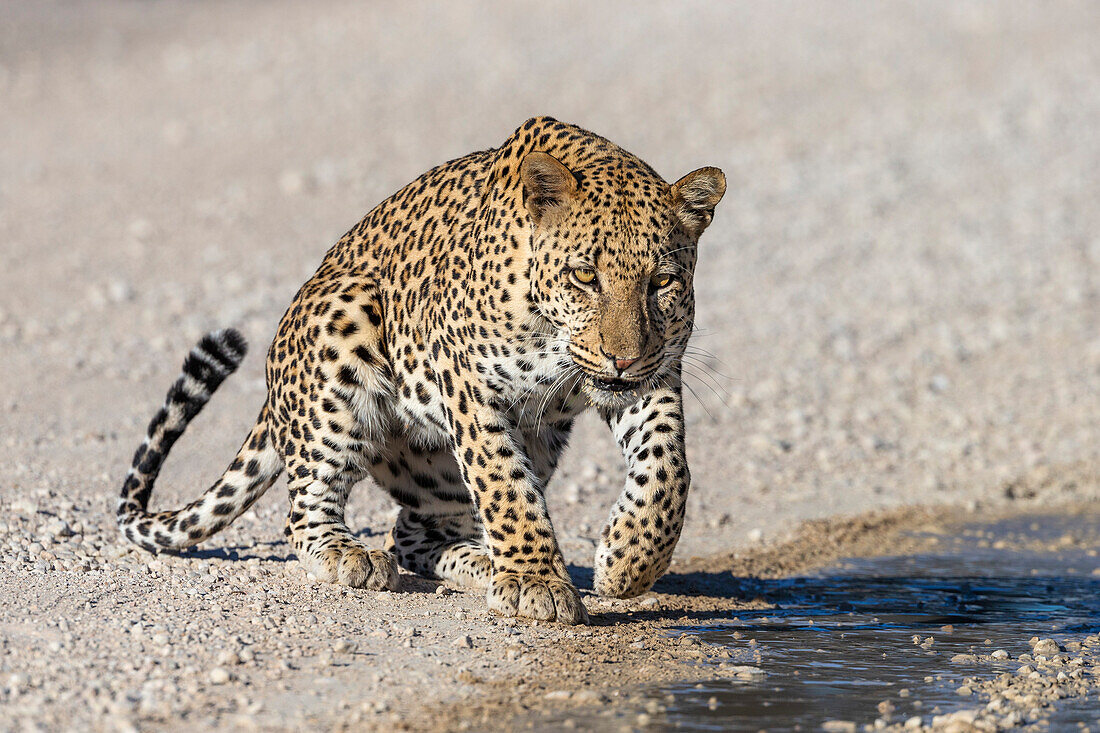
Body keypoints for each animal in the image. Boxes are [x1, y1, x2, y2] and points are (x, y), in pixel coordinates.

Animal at [118, 115, 721, 620]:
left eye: (662, 282)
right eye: (584, 276)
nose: (622, 357)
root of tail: (273, 390)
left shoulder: (656, 372)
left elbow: (669, 469)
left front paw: (627, 563)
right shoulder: (470, 385)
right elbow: (505, 485)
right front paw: (537, 582)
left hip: (500, 450)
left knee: (410, 534)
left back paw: (482, 564)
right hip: (345, 324)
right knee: (310, 510)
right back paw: (352, 556)